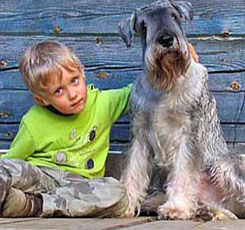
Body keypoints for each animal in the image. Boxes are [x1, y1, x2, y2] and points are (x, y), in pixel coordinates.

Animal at [117, 0, 245, 220]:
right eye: (143, 25)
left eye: (174, 16)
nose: (167, 39)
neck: (164, 85)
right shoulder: (140, 137)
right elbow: (133, 171)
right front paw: (126, 204)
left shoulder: (188, 135)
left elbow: (183, 173)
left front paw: (176, 207)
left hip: (223, 165)